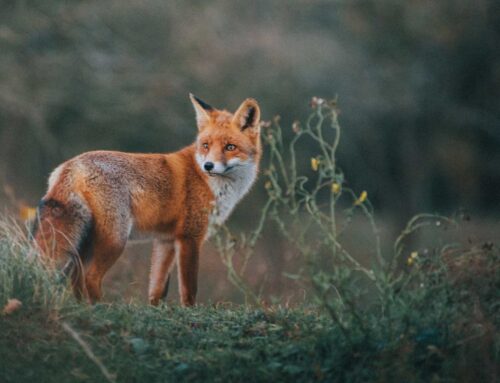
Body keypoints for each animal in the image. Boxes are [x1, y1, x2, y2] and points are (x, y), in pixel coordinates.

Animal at [32, 94, 262, 308]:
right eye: (205, 145)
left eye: (230, 147)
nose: (208, 166)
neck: (208, 181)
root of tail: (71, 166)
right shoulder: (190, 237)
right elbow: (189, 289)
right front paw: (189, 312)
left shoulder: (165, 240)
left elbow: (157, 289)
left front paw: (157, 311)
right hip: (114, 240)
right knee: (90, 276)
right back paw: (101, 308)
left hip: (85, 241)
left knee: (74, 276)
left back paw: (83, 308)